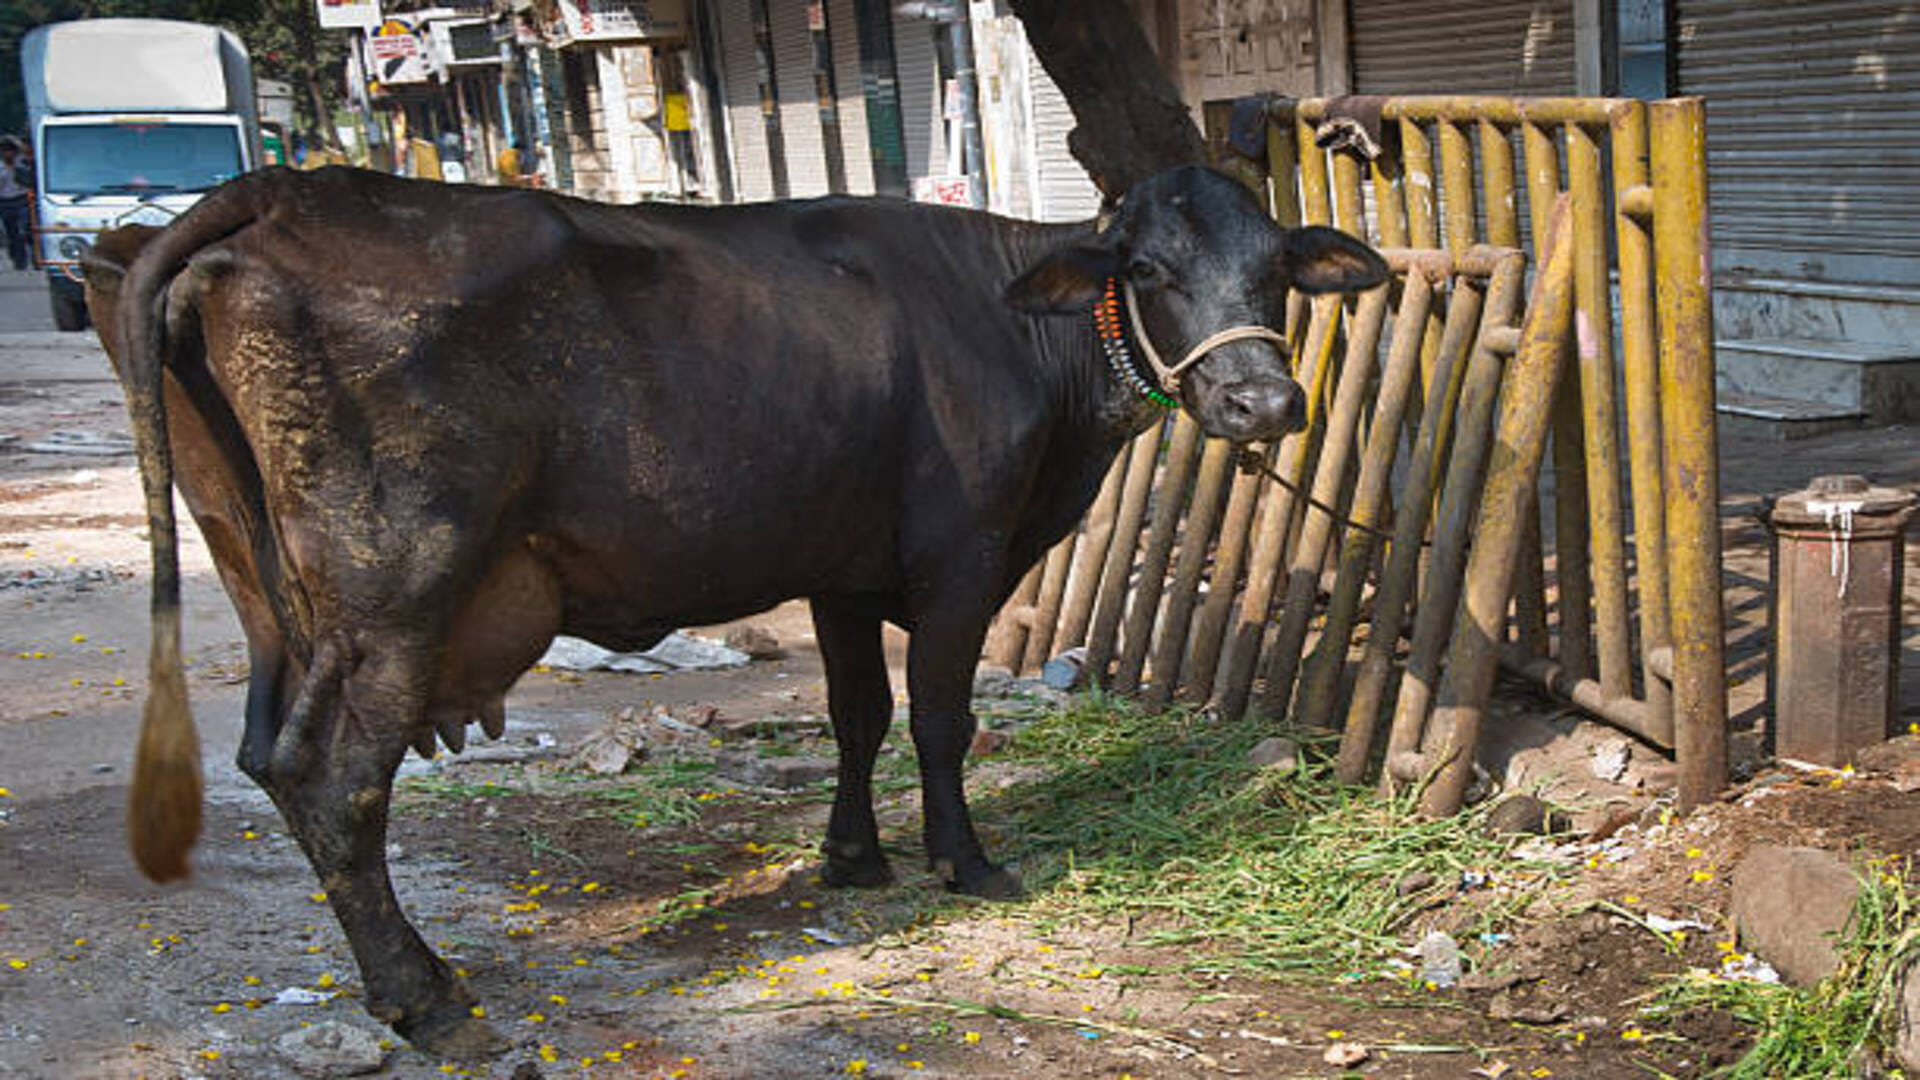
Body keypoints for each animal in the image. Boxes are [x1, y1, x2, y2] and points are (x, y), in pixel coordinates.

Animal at [82, 163, 1386, 1055]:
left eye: (1277, 270)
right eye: (1149, 270)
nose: (1265, 403)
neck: (1016, 330)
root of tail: (283, 187)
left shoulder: (842, 568)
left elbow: (857, 715)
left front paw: (853, 858)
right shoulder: (964, 557)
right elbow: (940, 718)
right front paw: (963, 861)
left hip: (263, 590)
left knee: (268, 755)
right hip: (397, 588)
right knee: (335, 780)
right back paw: (425, 998)